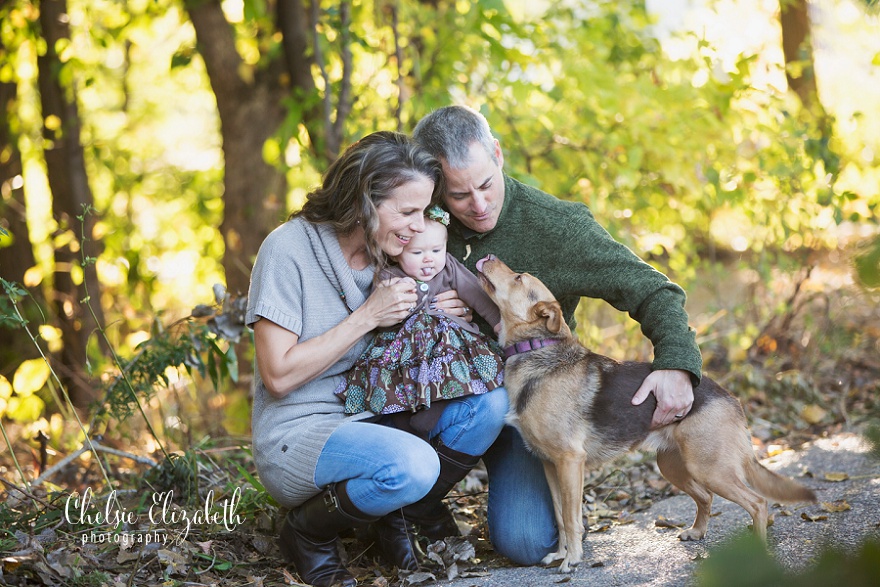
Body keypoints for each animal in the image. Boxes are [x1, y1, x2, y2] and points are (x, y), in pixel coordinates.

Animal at [474, 255, 820, 572]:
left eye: (518, 277)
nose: (487, 256)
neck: (536, 351)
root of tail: (730, 397)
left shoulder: (570, 462)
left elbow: (572, 520)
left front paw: (572, 559)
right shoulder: (550, 465)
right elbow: (560, 517)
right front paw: (561, 554)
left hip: (710, 468)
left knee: (758, 503)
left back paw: (758, 554)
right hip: (674, 465)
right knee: (706, 497)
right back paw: (697, 532)